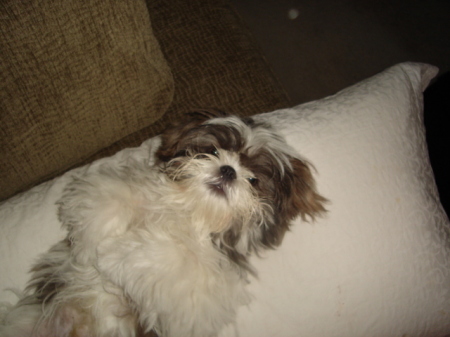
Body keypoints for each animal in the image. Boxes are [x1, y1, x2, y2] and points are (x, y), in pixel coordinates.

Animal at [0, 110, 326, 336]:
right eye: (212, 151)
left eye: (254, 180)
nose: (228, 171)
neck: (192, 213)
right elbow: (113, 194)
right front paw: (90, 243)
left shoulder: (199, 296)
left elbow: (174, 260)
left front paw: (119, 255)